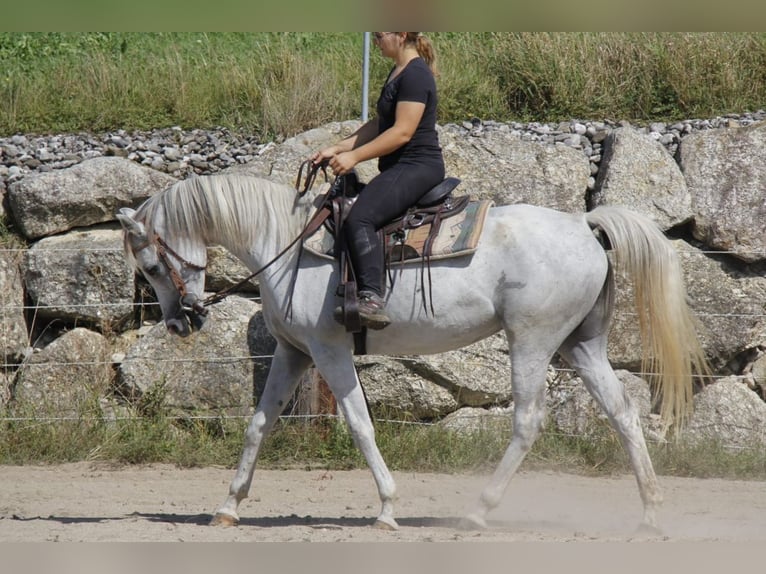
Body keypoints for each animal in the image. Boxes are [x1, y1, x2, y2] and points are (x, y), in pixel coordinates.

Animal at [116, 172, 708, 533]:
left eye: (150, 264)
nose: (182, 321)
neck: (288, 245)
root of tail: (583, 224)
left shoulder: (329, 353)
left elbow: (360, 424)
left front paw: (387, 507)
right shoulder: (293, 352)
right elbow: (259, 424)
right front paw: (228, 506)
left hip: (533, 341)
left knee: (528, 420)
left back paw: (479, 510)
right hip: (580, 344)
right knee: (623, 413)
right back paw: (650, 512)